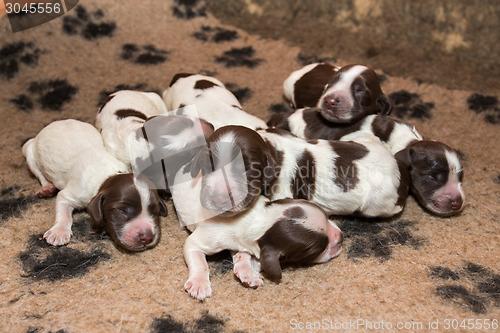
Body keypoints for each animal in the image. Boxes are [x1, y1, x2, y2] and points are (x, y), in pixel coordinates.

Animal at [22, 119, 167, 249]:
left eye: (155, 210)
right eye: (121, 210)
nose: (147, 237)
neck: (107, 176)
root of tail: (54, 123)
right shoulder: (73, 194)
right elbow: (64, 211)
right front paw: (59, 232)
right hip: (30, 150)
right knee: (38, 171)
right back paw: (46, 188)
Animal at [170, 160, 342, 300]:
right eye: (315, 250)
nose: (341, 237)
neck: (262, 219)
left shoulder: (239, 241)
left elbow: (243, 255)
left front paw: (247, 272)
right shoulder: (203, 240)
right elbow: (200, 261)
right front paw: (199, 284)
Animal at [189, 126, 408, 217]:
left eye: (248, 169)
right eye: (207, 165)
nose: (218, 200)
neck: (272, 148)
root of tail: (396, 164)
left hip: (377, 203)